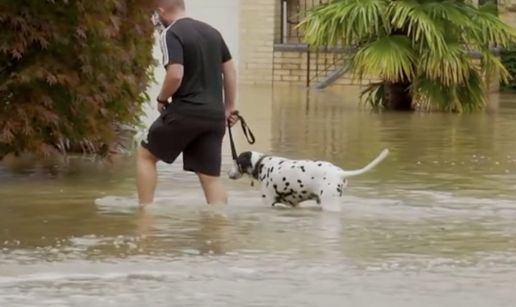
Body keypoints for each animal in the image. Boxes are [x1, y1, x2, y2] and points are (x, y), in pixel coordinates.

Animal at [228, 149, 390, 212]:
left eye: (236, 162)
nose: (228, 173)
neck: (263, 164)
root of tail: (339, 173)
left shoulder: (267, 202)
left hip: (329, 203)